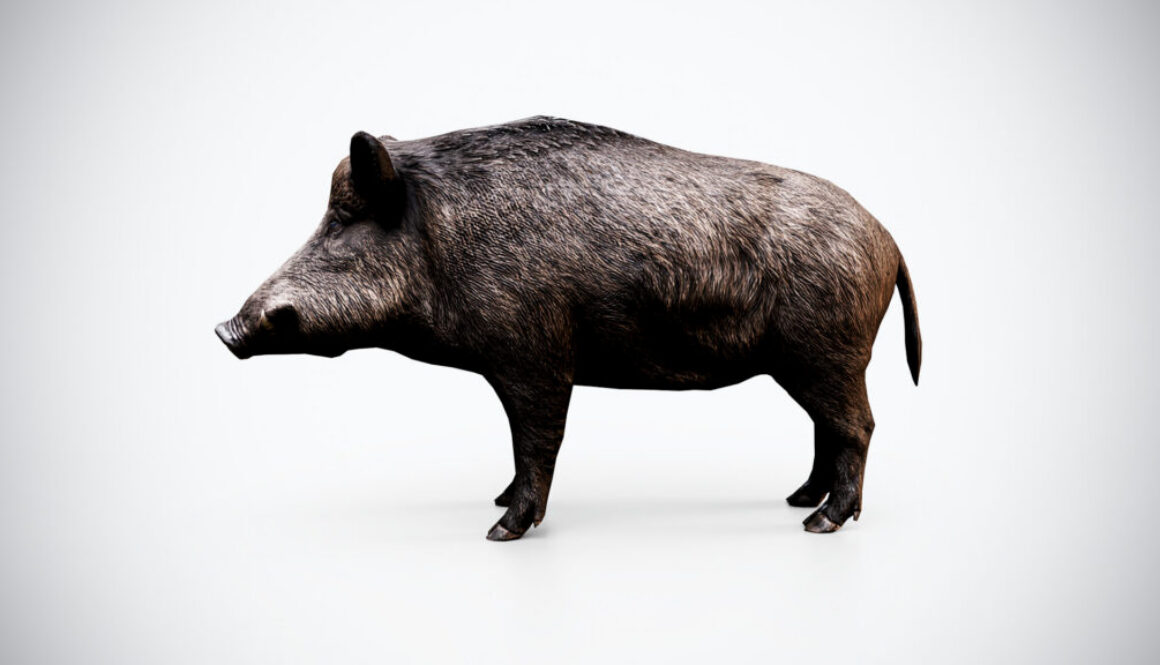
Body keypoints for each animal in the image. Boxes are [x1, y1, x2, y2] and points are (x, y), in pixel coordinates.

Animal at [215, 116, 921, 541]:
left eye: (343, 223)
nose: (226, 329)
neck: (446, 246)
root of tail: (888, 239)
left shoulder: (535, 355)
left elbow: (537, 440)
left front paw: (500, 530)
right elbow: (520, 445)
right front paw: (495, 502)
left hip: (828, 352)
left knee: (858, 426)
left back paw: (820, 524)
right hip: (808, 361)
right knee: (829, 429)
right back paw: (797, 500)